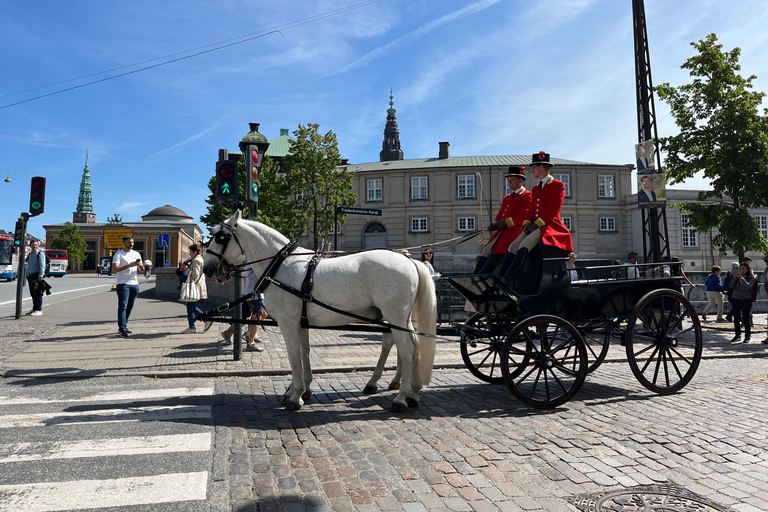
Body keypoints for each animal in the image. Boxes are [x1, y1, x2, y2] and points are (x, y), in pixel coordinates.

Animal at [201, 211, 436, 412]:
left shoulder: (288, 322)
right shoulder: (301, 322)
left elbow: (294, 355)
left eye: (221, 237)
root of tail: (409, 260)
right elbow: (304, 352)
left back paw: (401, 398)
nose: (207, 268)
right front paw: (303, 389)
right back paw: (411, 392)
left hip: (394, 316)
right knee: (411, 345)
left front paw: (295, 395)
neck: (282, 266)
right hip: (401, 320)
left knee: (406, 350)